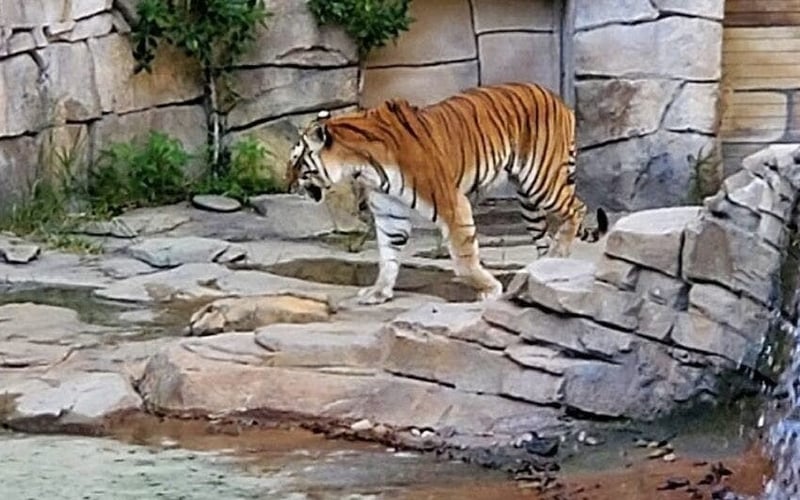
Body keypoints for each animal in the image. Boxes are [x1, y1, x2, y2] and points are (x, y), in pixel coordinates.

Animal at [286, 82, 608, 305]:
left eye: (297, 162)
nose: (287, 185)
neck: (360, 166)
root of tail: (559, 100)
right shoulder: (390, 212)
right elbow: (387, 256)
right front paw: (379, 292)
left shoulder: (451, 202)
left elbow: (463, 259)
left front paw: (490, 290)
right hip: (528, 198)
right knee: (544, 234)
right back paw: (542, 267)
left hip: (542, 181)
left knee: (577, 209)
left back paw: (558, 254)